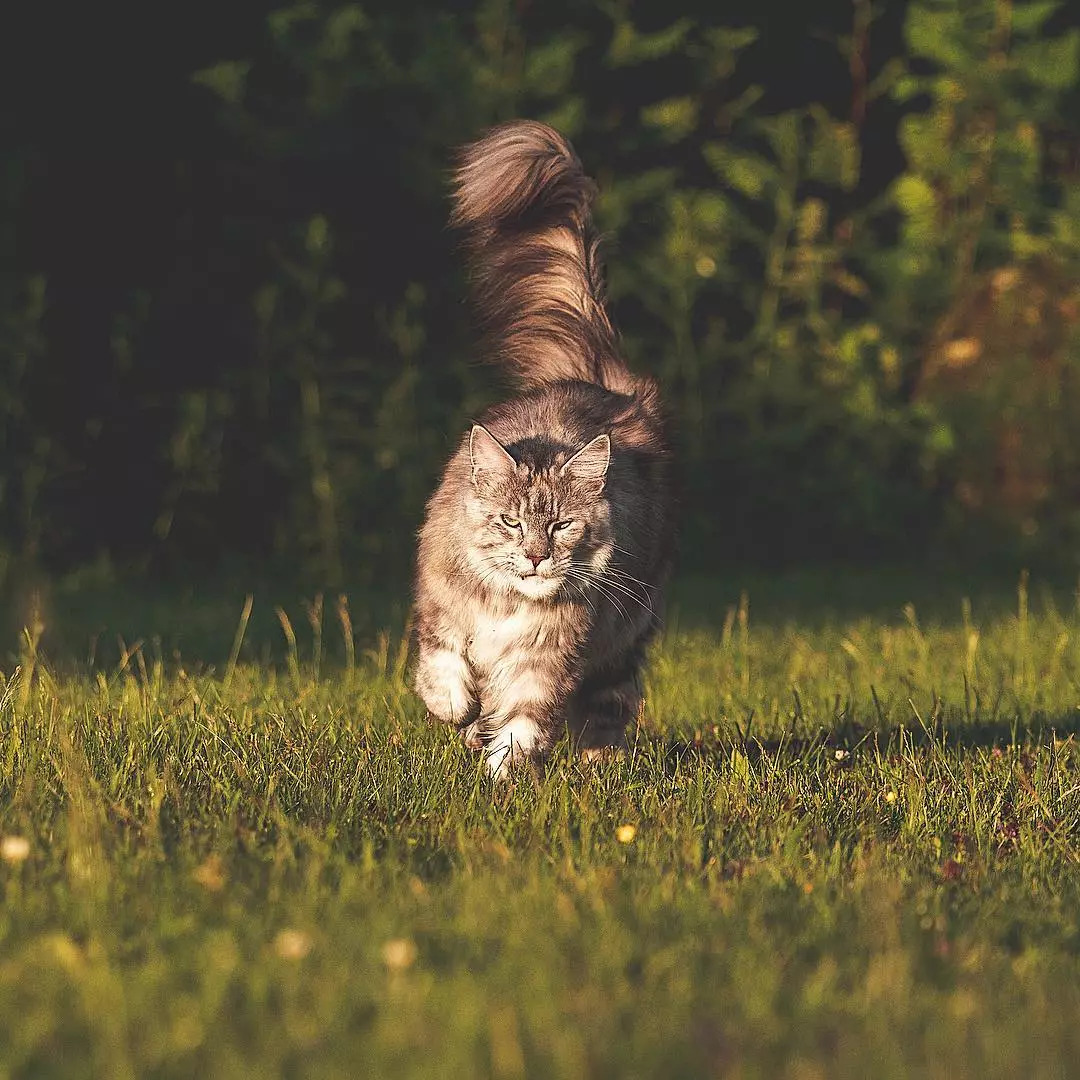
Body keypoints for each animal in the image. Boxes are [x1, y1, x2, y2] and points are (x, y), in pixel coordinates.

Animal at [412, 120, 673, 777]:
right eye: (510, 522)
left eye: (559, 526)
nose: (534, 557)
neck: (511, 607)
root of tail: (599, 380)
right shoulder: (440, 612)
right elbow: (444, 671)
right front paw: (460, 712)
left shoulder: (548, 657)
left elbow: (524, 724)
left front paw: (500, 772)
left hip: (624, 637)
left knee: (609, 705)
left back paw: (597, 761)